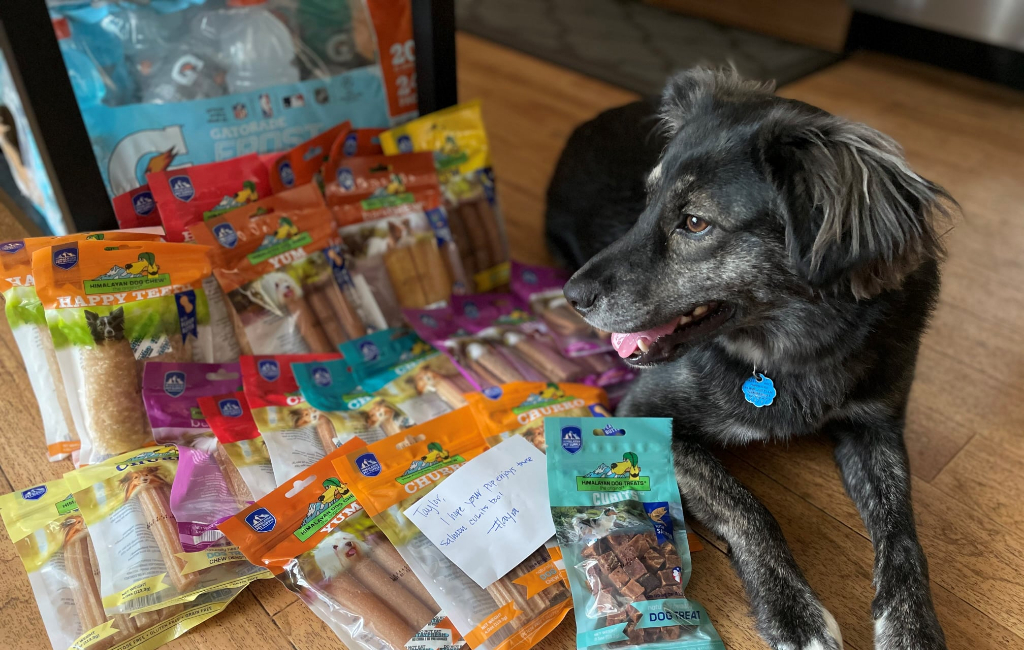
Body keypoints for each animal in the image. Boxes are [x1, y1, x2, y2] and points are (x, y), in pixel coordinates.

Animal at [548, 68, 954, 646]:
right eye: (645, 205)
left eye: (695, 223)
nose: (571, 296)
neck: (793, 348)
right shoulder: (642, 417)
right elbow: (747, 508)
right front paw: (793, 611)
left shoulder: (876, 425)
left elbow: (903, 530)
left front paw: (911, 623)